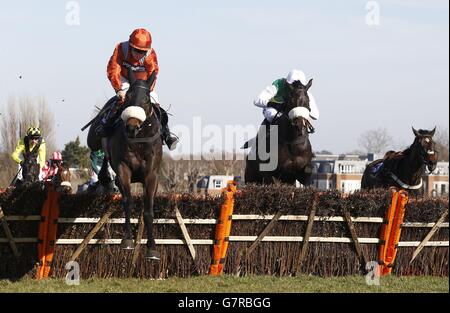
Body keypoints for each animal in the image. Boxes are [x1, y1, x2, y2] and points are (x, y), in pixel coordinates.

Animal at [87, 70, 163, 258]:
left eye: (146, 100)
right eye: (127, 97)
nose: (131, 126)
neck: (139, 141)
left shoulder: (151, 176)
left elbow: (148, 210)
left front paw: (152, 248)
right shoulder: (123, 170)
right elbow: (128, 202)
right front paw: (128, 240)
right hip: (94, 140)